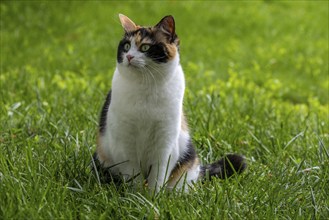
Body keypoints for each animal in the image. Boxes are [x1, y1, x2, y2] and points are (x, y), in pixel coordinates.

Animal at [92, 14, 246, 192]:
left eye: (145, 47)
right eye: (126, 46)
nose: (129, 57)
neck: (146, 87)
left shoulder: (165, 141)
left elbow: (158, 174)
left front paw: (153, 197)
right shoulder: (125, 143)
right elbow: (133, 174)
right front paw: (135, 195)